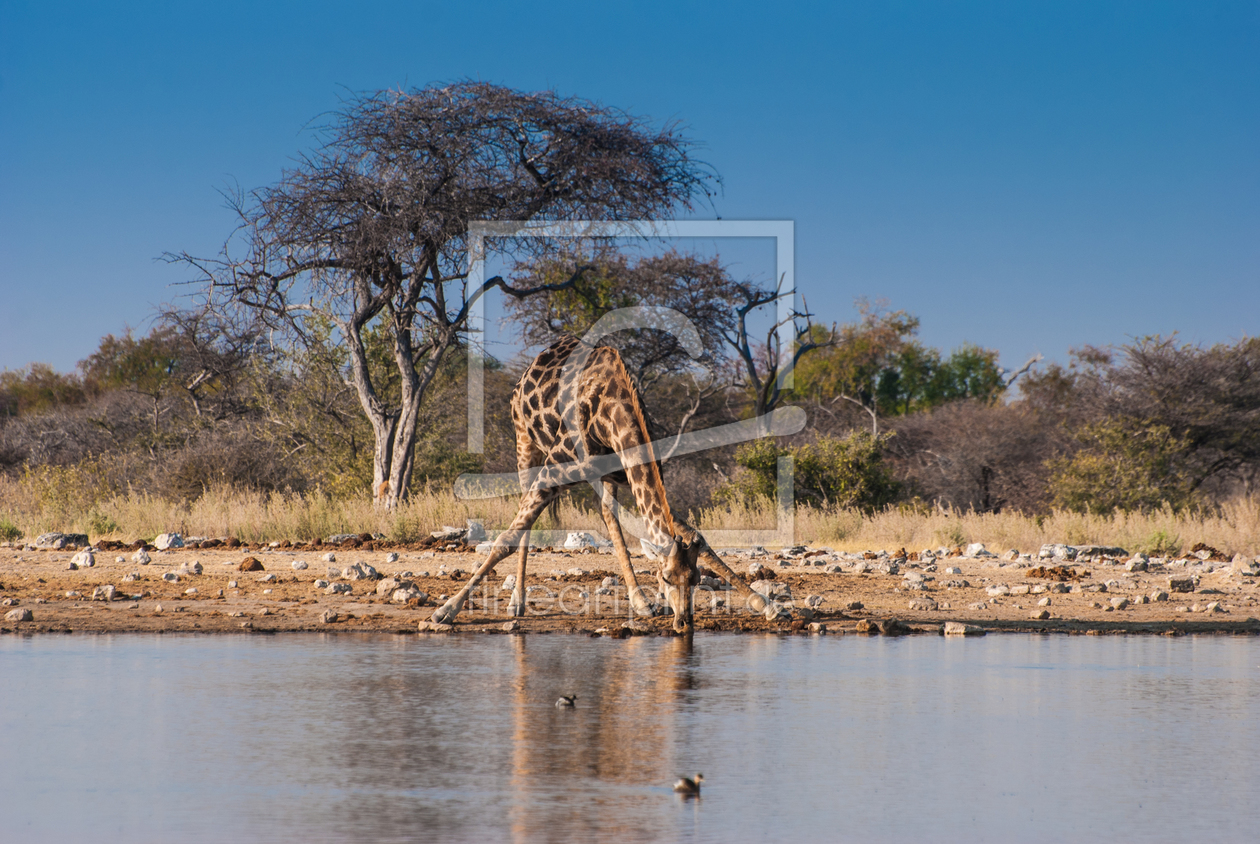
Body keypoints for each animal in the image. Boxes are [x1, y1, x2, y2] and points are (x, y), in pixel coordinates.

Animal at [428, 335, 771, 634]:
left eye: (697, 579)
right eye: (665, 578)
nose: (684, 624)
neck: (614, 410)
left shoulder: (624, 473)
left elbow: (694, 536)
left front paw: (764, 604)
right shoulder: (554, 468)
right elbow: (506, 539)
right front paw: (446, 611)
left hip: (597, 476)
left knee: (608, 517)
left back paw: (640, 601)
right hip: (525, 441)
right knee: (525, 517)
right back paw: (517, 602)